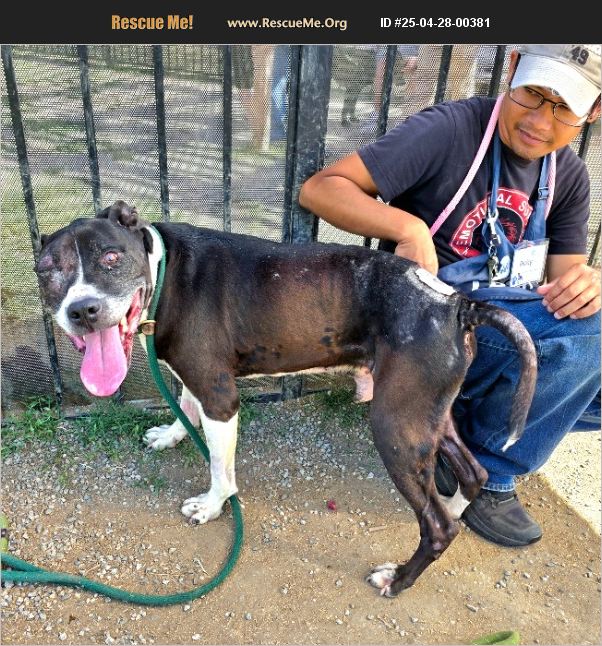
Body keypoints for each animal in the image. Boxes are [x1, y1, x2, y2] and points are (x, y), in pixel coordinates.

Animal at [35, 200, 537, 596]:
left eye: (111, 256)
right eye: (46, 270)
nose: (82, 310)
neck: (164, 274)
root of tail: (456, 304)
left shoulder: (220, 396)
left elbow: (219, 465)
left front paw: (213, 506)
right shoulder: (194, 379)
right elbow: (186, 406)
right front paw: (172, 434)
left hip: (395, 425)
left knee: (436, 526)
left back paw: (398, 578)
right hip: (428, 415)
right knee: (473, 473)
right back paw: (454, 507)